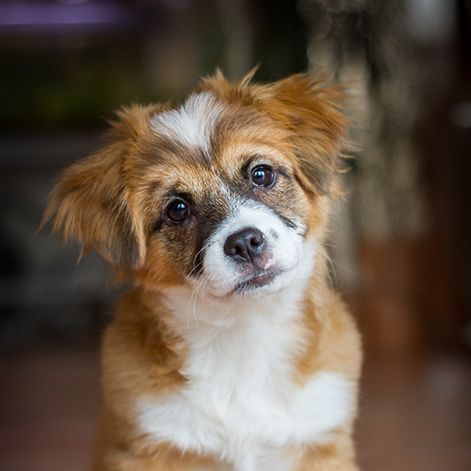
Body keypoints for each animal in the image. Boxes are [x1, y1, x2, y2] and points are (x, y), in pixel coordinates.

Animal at [43, 73, 362, 471]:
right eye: (177, 209)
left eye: (261, 174)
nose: (245, 243)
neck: (245, 332)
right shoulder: (146, 448)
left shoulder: (321, 441)